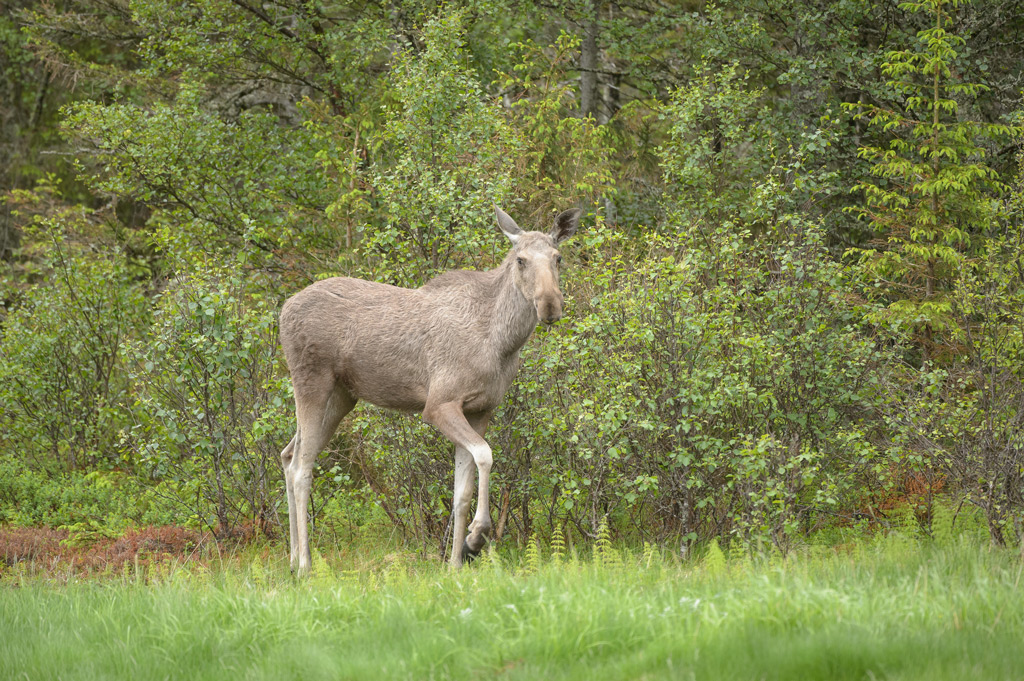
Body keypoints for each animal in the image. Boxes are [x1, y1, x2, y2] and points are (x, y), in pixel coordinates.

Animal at [278, 204, 585, 569]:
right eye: (521, 260)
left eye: (558, 257)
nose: (550, 305)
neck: (501, 344)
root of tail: (282, 310)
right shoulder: (439, 404)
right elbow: (485, 455)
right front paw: (476, 537)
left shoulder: (481, 409)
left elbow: (461, 491)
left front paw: (455, 562)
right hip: (311, 381)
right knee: (301, 468)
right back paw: (305, 564)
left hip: (341, 397)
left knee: (288, 455)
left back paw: (292, 560)